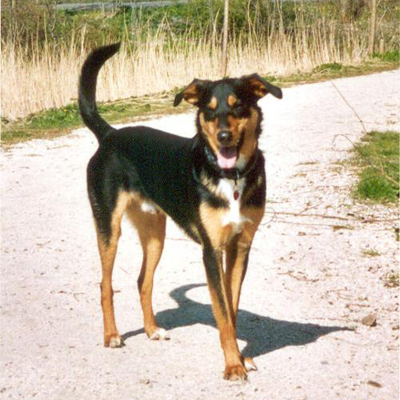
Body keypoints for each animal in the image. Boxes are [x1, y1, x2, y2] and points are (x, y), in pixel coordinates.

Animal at [79, 43, 282, 382]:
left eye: (238, 105)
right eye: (209, 110)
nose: (224, 137)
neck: (230, 177)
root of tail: (109, 136)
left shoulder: (240, 247)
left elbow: (232, 308)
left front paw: (240, 358)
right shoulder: (212, 252)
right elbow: (223, 313)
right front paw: (233, 365)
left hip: (154, 235)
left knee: (143, 281)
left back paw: (151, 330)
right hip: (109, 227)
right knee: (106, 285)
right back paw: (112, 335)